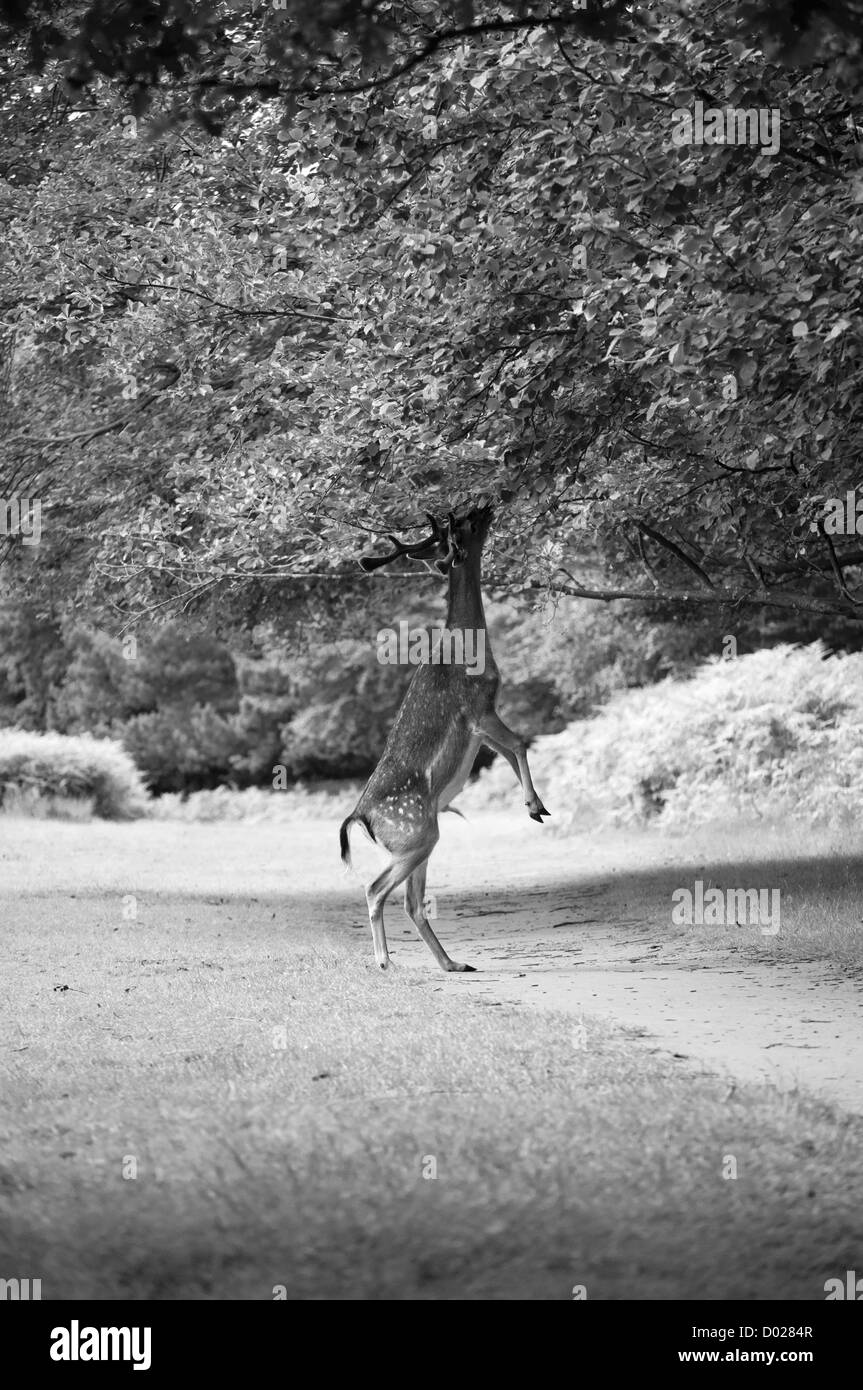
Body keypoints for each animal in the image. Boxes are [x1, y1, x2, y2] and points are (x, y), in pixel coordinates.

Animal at [337, 505, 547, 973]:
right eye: (465, 525)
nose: (485, 506)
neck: (473, 646)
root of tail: (360, 817)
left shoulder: (482, 724)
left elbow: (511, 753)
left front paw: (537, 806)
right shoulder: (478, 708)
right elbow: (521, 743)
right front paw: (535, 806)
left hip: (421, 840)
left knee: (412, 902)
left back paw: (453, 963)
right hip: (415, 834)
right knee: (375, 889)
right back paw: (386, 962)